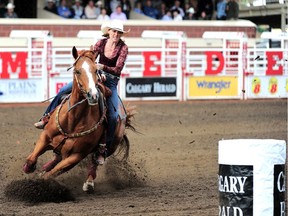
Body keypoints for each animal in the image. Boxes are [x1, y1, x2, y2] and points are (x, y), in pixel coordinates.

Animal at [23, 45, 135, 191]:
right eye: (77, 71)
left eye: (95, 70)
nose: (93, 95)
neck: (72, 120)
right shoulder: (45, 136)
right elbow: (32, 159)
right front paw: (29, 168)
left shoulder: (76, 156)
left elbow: (51, 174)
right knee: (56, 158)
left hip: (110, 147)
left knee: (94, 162)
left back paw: (89, 182)